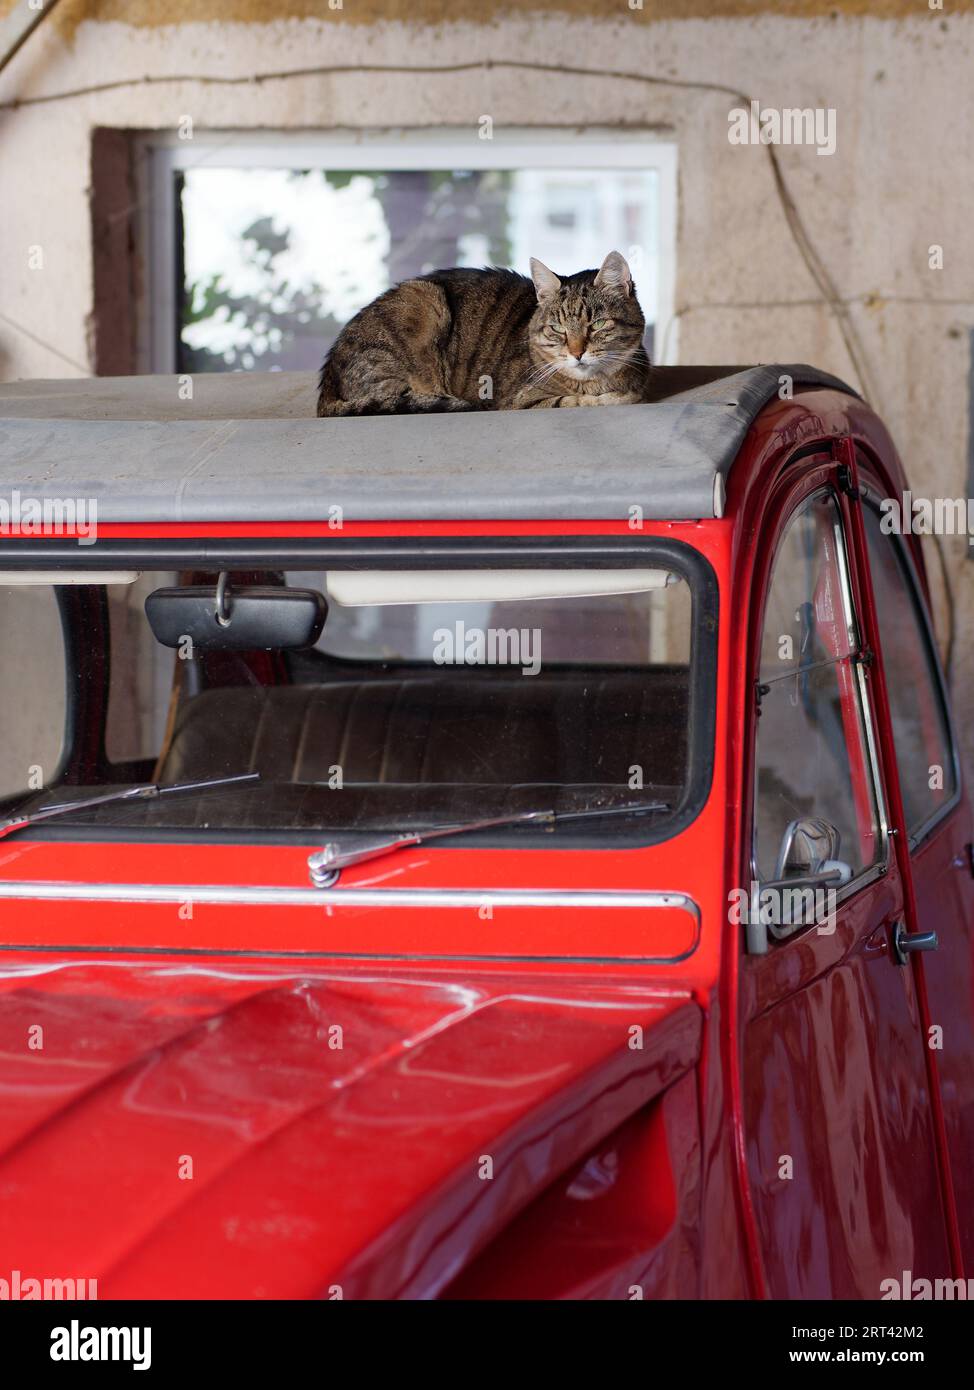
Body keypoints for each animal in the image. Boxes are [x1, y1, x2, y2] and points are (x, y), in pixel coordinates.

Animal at [316, 250, 644, 414]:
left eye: (597, 324)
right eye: (557, 329)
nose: (577, 353)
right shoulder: (521, 401)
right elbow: (580, 401)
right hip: (423, 303)